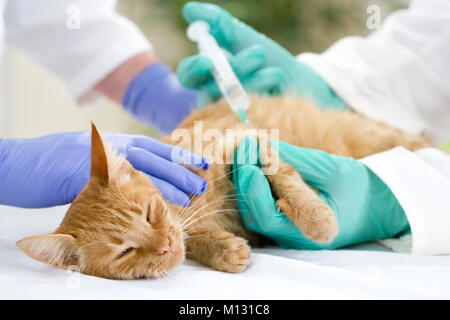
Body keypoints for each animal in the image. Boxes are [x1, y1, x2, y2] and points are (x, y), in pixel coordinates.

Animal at [18, 95, 432, 278]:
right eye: (125, 252)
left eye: (150, 214)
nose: (164, 246)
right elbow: (195, 244)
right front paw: (222, 250)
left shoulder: (249, 140)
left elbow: (287, 179)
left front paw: (318, 219)